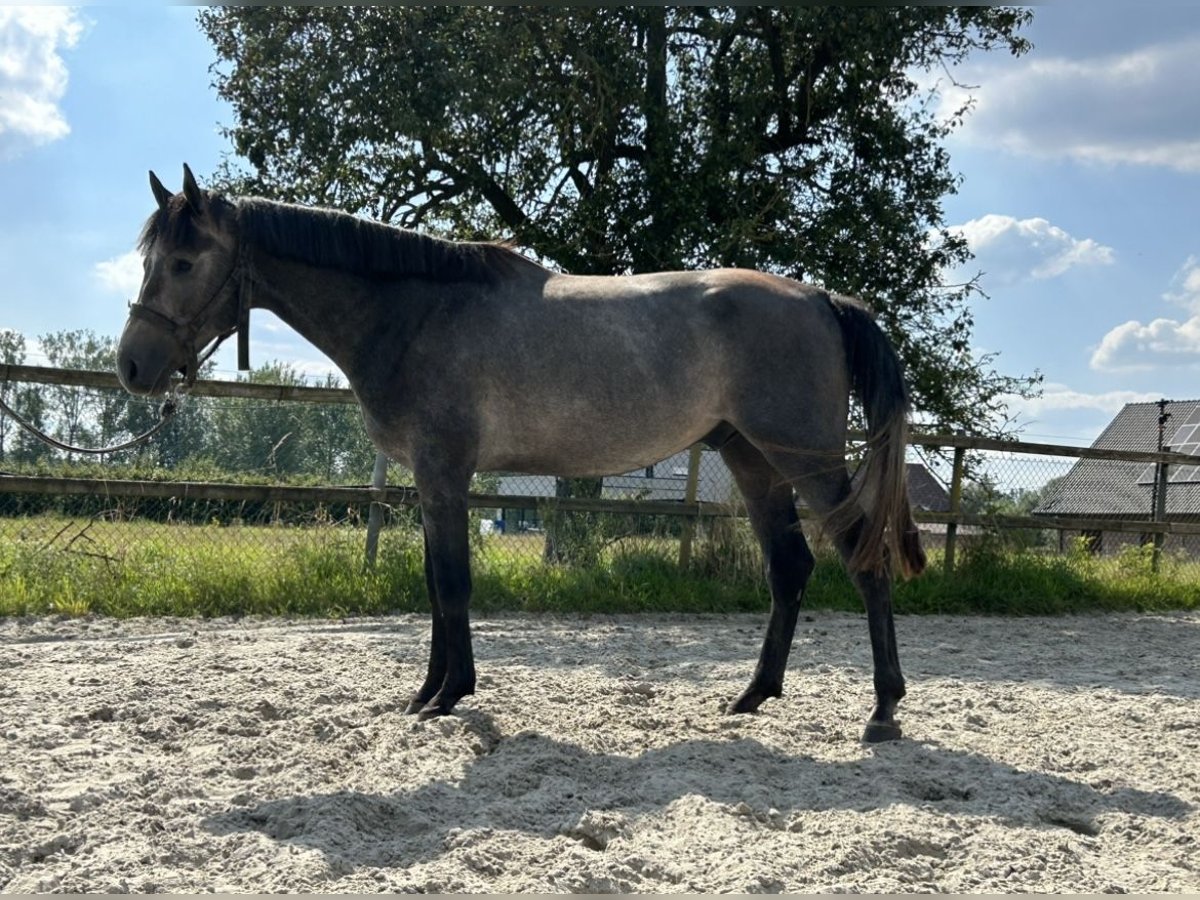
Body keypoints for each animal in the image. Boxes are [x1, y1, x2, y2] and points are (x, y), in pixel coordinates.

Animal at [117, 165, 926, 744]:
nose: (131, 366)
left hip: (809, 460)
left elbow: (452, 584)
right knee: (789, 568)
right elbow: (434, 584)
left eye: (184, 261)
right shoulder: (430, 483)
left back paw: (883, 710)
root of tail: (821, 299)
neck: (415, 311)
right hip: (753, 460)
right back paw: (751, 696)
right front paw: (427, 692)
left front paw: (449, 694)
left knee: (864, 559)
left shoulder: (445, 474)